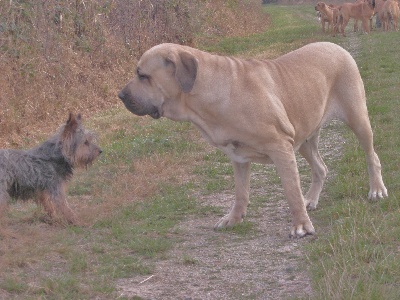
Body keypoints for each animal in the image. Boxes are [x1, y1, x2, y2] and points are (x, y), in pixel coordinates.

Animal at [118, 42, 388, 239]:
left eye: (143, 75)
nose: (120, 95)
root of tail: (337, 46)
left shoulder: (280, 148)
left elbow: (291, 191)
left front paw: (301, 225)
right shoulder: (238, 156)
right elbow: (241, 192)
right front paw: (234, 219)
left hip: (357, 118)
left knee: (371, 156)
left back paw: (376, 189)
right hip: (304, 139)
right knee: (320, 167)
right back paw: (311, 199)